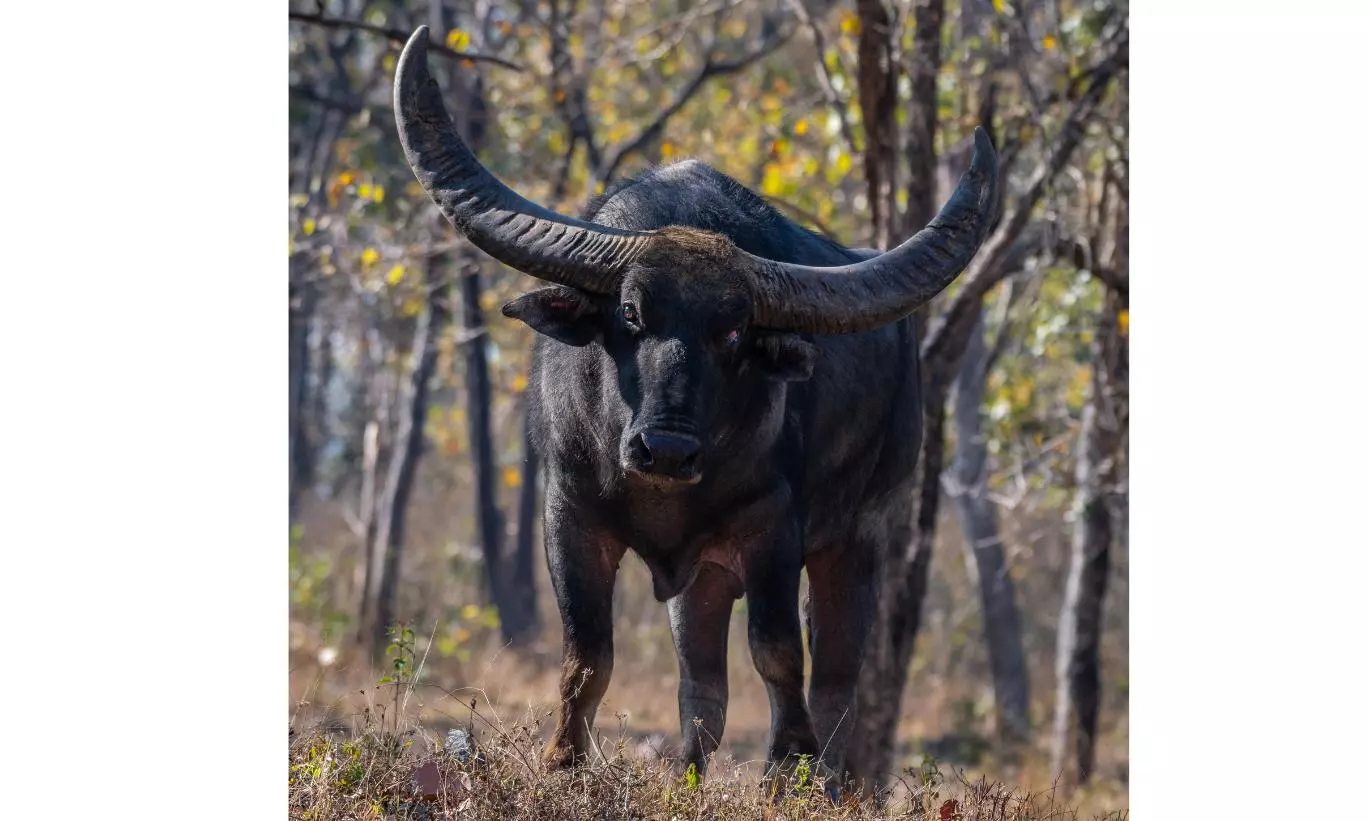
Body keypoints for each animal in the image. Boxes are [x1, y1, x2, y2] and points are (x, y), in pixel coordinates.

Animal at [393, 26, 997, 790]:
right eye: (630, 312)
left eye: (734, 332)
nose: (669, 449)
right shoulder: (568, 513)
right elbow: (587, 654)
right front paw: (564, 759)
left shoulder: (774, 528)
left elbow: (778, 652)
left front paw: (786, 768)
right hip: (704, 580)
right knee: (703, 682)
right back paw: (688, 771)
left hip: (862, 534)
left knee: (838, 675)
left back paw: (829, 782)